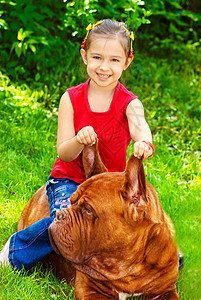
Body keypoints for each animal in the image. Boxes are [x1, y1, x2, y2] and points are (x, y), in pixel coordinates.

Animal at [17, 143, 179, 300]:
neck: (130, 267)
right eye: (71, 201)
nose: (59, 214)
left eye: (88, 210)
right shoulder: (89, 289)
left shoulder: (166, 290)